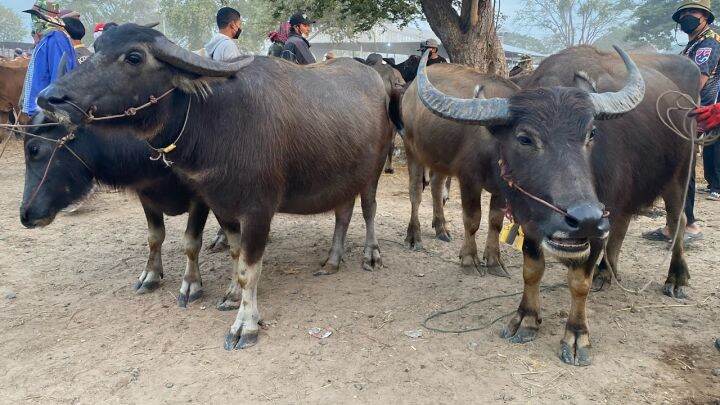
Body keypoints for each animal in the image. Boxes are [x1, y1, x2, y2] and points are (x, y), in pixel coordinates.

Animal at [36, 23, 400, 348]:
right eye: (97, 49)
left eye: (134, 57)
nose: (49, 98)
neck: (217, 119)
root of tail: (380, 83)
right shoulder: (220, 205)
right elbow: (236, 257)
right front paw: (231, 295)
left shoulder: (257, 211)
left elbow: (249, 269)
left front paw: (245, 325)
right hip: (344, 174)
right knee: (343, 213)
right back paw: (332, 260)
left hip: (373, 170)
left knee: (368, 209)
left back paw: (371, 255)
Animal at [414, 45, 700, 364]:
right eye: (524, 138)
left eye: (591, 134)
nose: (584, 218)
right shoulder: (530, 219)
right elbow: (531, 270)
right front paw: (526, 319)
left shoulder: (596, 223)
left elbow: (579, 282)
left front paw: (576, 335)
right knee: (622, 226)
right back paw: (606, 272)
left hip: (679, 177)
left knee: (678, 222)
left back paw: (676, 278)